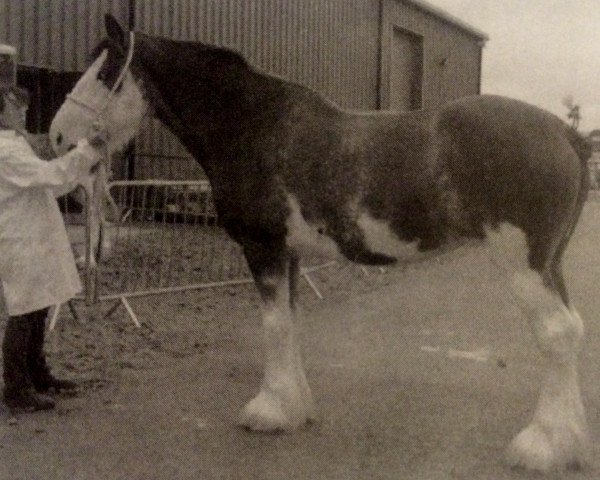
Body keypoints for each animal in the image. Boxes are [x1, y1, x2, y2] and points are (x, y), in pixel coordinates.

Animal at [51, 15, 596, 472]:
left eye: (105, 73)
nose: (57, 137)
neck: (254, 125)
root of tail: (563, 133)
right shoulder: (289, 253)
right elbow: (290, 323)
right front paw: (295, 407)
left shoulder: (264, 247)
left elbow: (274, 326)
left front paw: (269, 411)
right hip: (550, 263)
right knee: (571, 329)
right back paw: (567, 441)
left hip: (524, 263)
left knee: (555, 333)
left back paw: (541, 445)